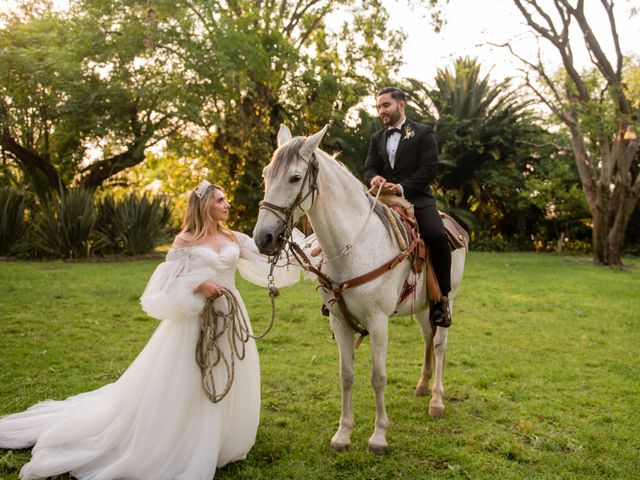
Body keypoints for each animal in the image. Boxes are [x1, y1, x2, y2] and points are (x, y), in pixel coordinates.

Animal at [252, 124, 468, 454]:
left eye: (295, 178)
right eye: (266, 174)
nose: (263, 237)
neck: (353, 245)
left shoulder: (378, 322)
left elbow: (378, 377)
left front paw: (378, 437)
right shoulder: (339, 321)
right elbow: (346, 376)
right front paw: (343, 434)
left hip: (448, 299)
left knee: (441, 345)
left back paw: (436, 400)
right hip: (422, 306)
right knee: (427, 338)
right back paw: (422, 385)